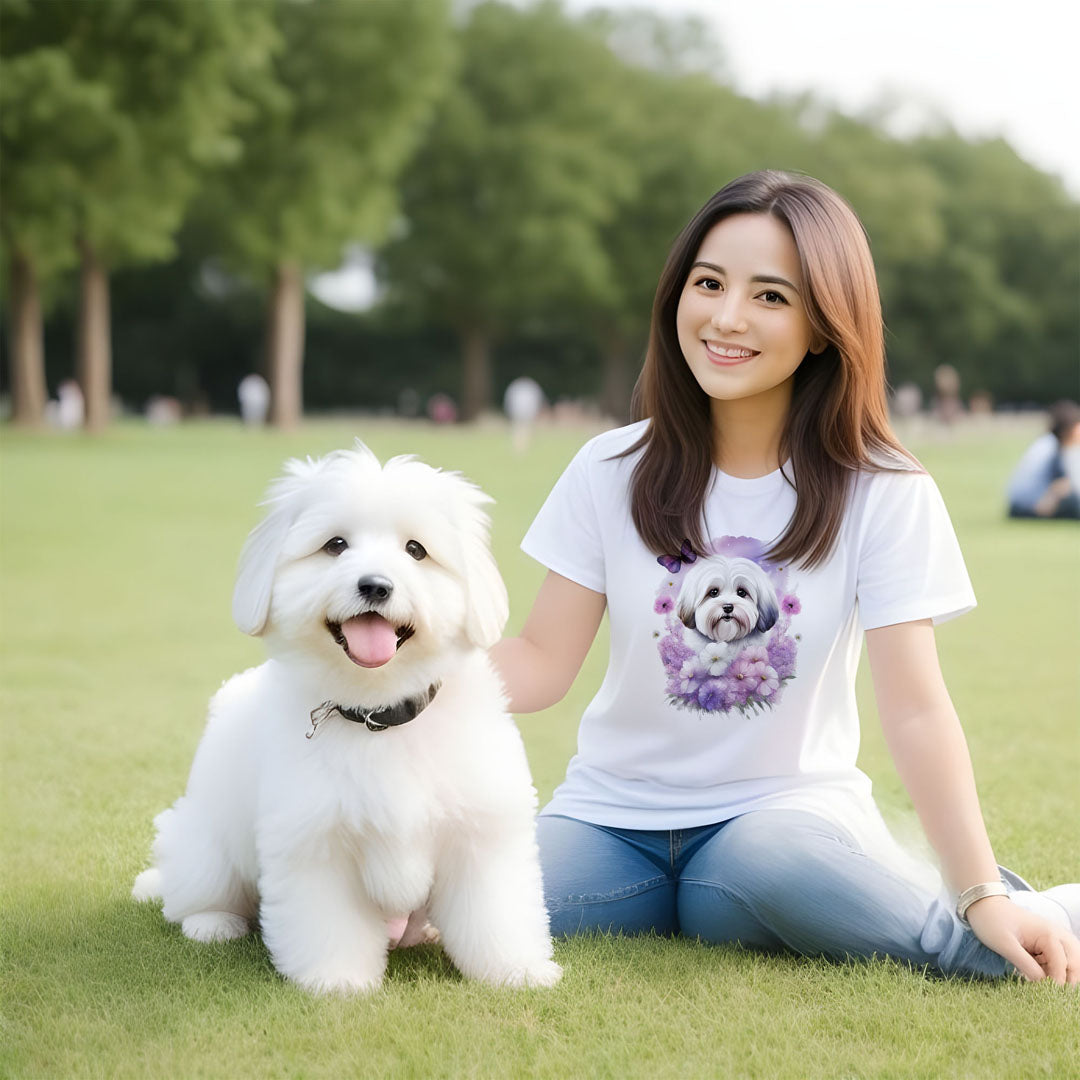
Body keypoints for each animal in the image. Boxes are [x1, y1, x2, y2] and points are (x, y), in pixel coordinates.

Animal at [130, 440, 561, 993]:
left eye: (416, 550)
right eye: (335, 545)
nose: (375, 586)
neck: (379, 714)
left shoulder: (482, 833)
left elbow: (494, 912)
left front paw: (515, 970)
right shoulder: (315, 842)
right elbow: (330, 923)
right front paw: (337, 981)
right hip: (208, 844)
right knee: (198, 892)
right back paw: (213, 923)